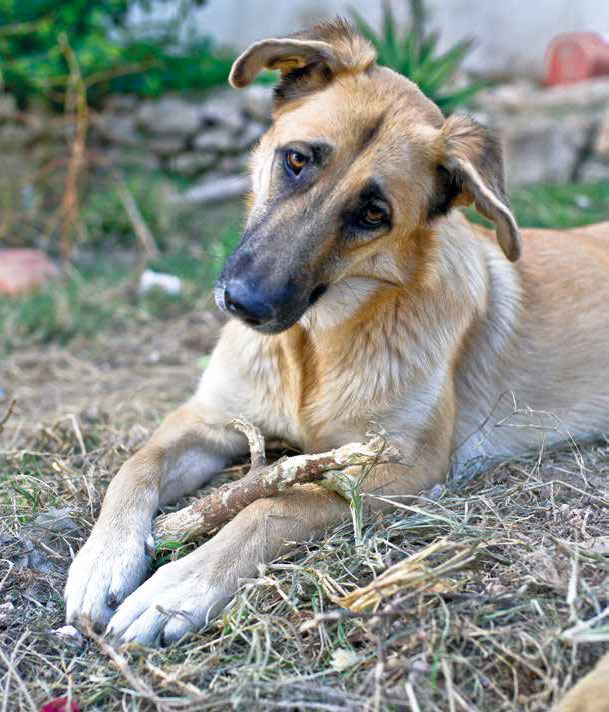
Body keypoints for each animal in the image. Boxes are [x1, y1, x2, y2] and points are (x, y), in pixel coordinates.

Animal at [64, 16, 604, 708]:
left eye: (373, 214)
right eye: (296, 160)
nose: (246, 304)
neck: (311, 347)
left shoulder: (403, 468)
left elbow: (275, 504)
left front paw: (177, 589)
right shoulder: (209, 417)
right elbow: (134, 468)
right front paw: (102, 563)